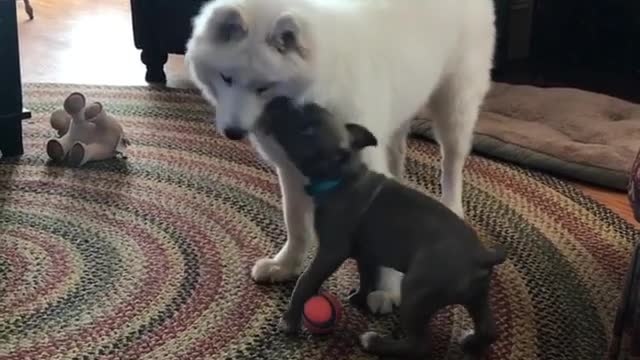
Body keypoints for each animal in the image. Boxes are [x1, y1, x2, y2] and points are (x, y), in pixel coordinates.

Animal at [185, 0, 496, 316]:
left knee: (452, 163)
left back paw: (453, 207)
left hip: (455, 106)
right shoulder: (291, 170)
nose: (233, 132)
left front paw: (386, 290)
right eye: (226, 78)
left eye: (264, 87)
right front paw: (285, 266)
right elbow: (295, 223)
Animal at [258, 97, 508, 358]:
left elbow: (306, 282)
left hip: (417, 292)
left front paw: (290, 321)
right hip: (476, 296)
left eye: (307, 129)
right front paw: (360, 298)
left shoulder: (330, 252)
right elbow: (367, 275)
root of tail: (482, 256)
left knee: (419, 344)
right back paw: (471, 342)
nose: (277, 99)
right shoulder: (366, 252)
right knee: (488, 328)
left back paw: (375, 343)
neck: (342, 176)